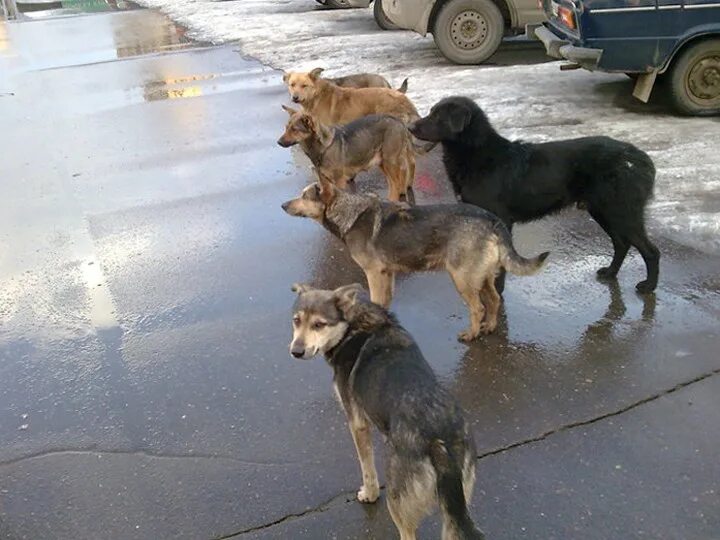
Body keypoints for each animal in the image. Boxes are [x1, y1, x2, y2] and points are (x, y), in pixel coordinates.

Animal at [278, 107, 420, 202]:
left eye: (294, 130)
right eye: (286, 128)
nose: (278, 142)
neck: (322, 148)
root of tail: (399, 121)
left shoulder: (340, 182)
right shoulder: (325, 183)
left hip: (390, 162)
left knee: (397, 184)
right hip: (383, 163)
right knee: (395, 184)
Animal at [282, 181, 544, 342]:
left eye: (304, 196)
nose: (283, 205)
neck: (349, 214)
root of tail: (492, 220)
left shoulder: (374, 273)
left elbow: (376, 299)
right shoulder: (386, 274)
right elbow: (383, 302)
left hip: (462, 278)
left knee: (478, 307)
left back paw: (472, 334)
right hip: (483, 276)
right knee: (494, 299)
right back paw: (489, 327)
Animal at [286, 284, 484, 536]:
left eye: (319, 324)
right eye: (296, 320)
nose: (296, 351)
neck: (352, 326)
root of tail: (439, 442)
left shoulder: (357, 423)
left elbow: (367, 467)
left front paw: (369, 495)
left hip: (399, 502)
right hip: (456, 509)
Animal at [408, 95, 660, 294]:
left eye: (438, 117)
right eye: (431, 111)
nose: (410, 127)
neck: (478, 154)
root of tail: (641, 158)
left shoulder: (501, 220)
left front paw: (497, 291)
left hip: (622, 213)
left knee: (650, 251)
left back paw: (649, 286)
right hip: (603, 211)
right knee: (621, 244)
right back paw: (610, 273)